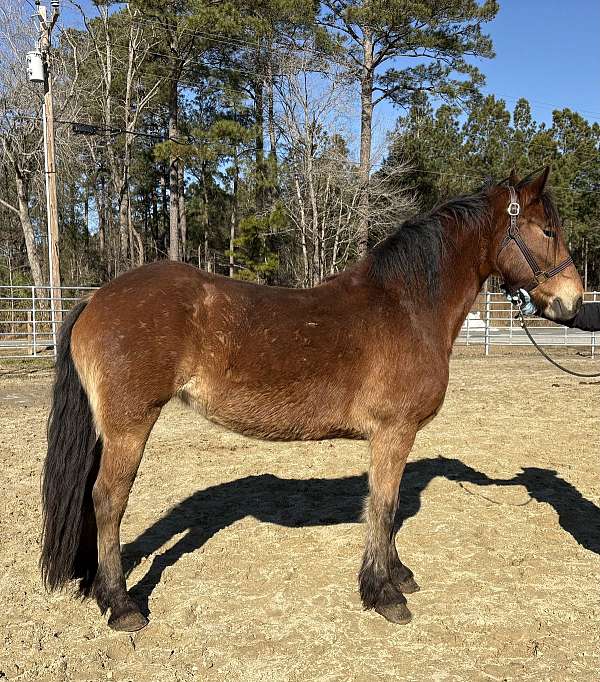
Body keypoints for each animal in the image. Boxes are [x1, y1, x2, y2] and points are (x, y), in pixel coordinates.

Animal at [40, 167, 583, 631]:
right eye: (547, 230)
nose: (573, 302)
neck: (407, 306)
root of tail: (96, 297)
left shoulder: (392, 438)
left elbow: (386, 507)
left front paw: (397, 574)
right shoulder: (393, 433)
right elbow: (383, 505)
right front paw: (383, 593)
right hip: (130, 426)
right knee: (108, 500)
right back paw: (120, 605)